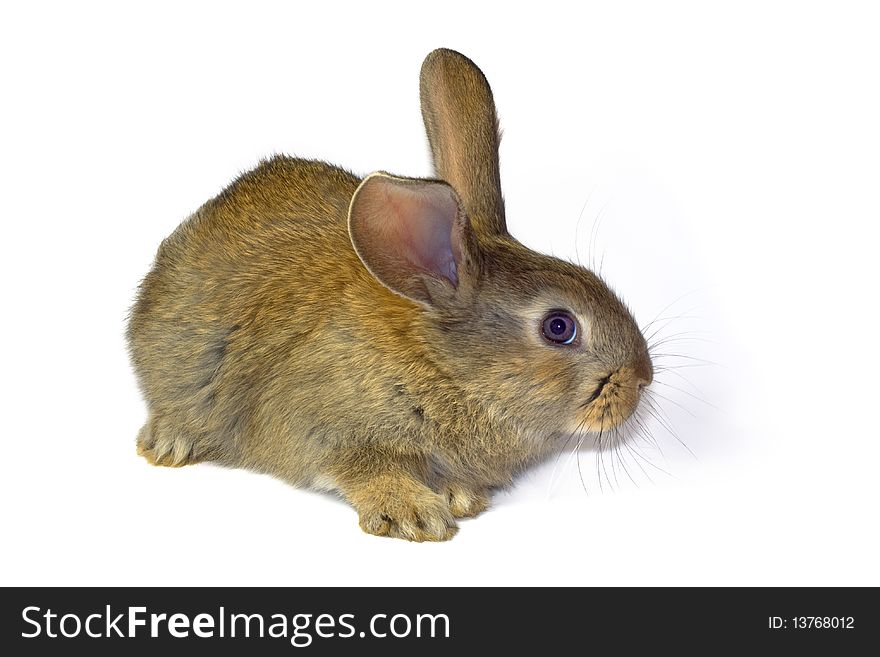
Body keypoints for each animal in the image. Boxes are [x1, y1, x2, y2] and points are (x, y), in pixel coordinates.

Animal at [129, 47, 652, 544]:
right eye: (559, 327)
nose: (643, 378)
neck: (444, 368)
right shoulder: (328, 430)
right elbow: (365, 469)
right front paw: (415, 515)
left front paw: (460, 496)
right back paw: (168, 442)